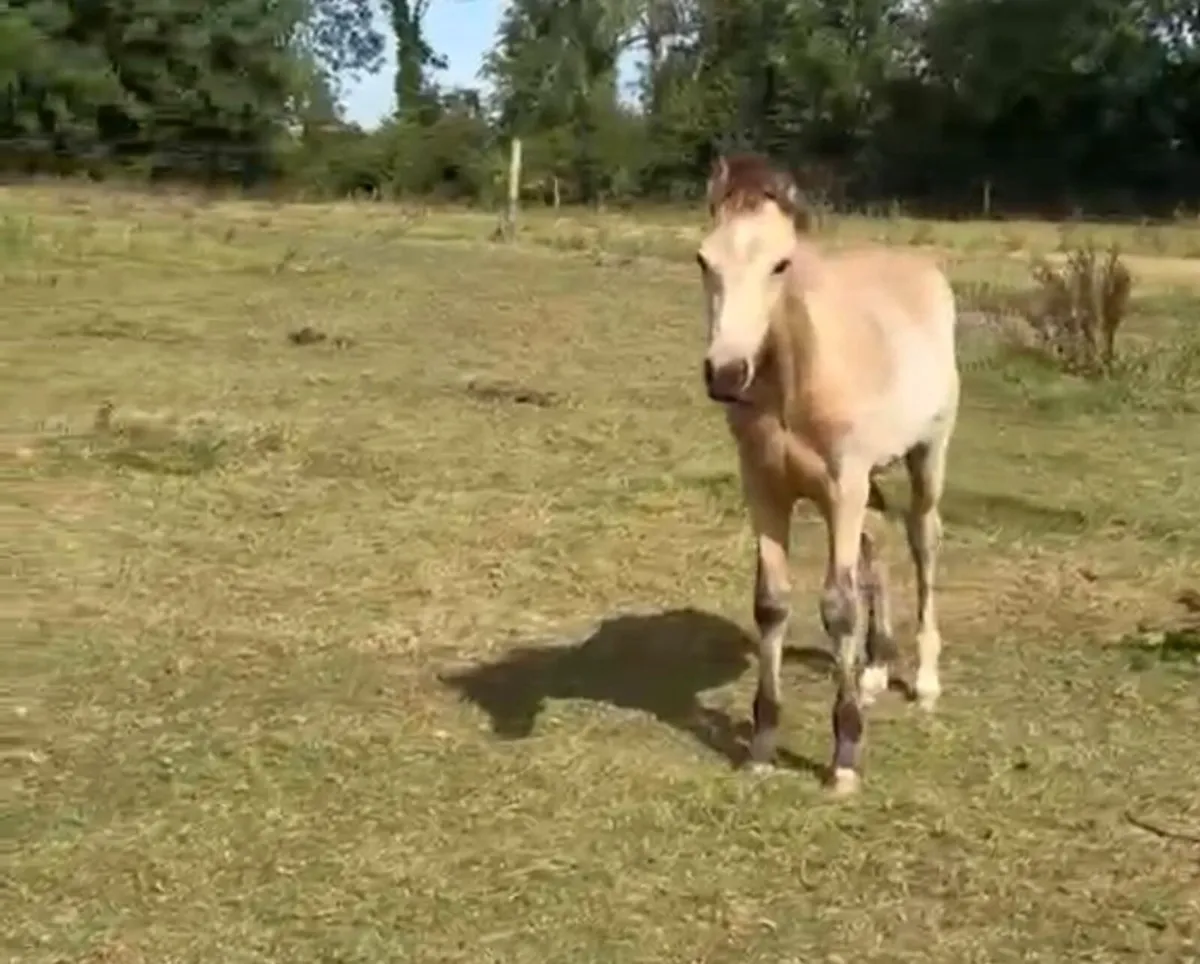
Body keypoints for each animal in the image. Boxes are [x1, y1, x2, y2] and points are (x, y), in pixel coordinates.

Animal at [695, 152, 961, 794]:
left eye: (780, 264)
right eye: (703, 260)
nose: (727, 373)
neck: (796, 378)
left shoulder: (842, 488)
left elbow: (838, 605)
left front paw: (844, 755)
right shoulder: (764, 486)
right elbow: (771, 603)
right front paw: (762, 744)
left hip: (927, 454)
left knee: (923, 539)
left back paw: (924, 679)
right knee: (879, 539)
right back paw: (876, 667)